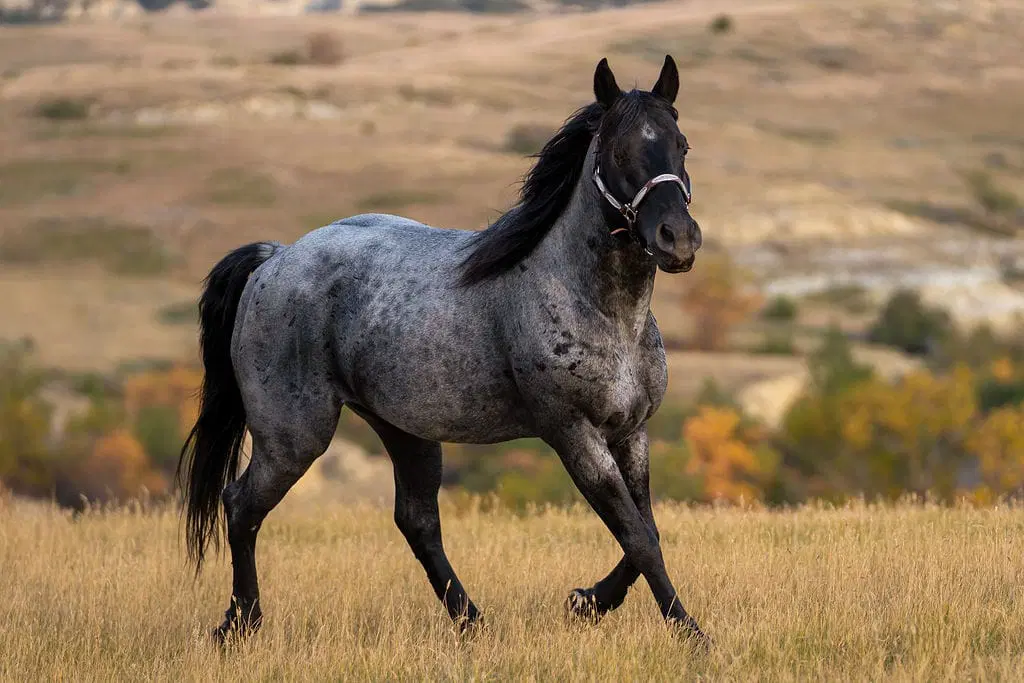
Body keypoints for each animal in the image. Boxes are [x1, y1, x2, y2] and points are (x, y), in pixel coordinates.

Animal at [177, 54, 707, 646]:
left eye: (681, 145)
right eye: (618, 152)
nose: (677, 240)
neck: (601, 312)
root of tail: (275, 258)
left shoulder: (631, 431)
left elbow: (647, 529)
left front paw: (587, 601)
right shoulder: (574, 435)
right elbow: (637, 536)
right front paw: (692, 636)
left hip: (403, 431)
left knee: (417, 521)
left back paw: (472, 622)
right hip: (293, 437)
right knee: (241, 505)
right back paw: (241, 622)